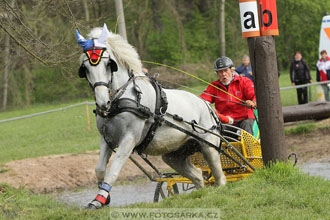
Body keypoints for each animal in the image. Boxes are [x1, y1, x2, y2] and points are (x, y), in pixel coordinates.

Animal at [76, 24, 227, 208]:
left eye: (108, 64)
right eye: (85, 68)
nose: (103, 102)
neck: (123, 98)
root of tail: (206, 104)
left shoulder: (129, 139)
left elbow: (113, 171)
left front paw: (99, 200)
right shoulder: (107, 139)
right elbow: (99, 169)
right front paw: (103, 199)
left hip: (209, 146)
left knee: (220, 177)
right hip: (174, 155)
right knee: (198, 176)